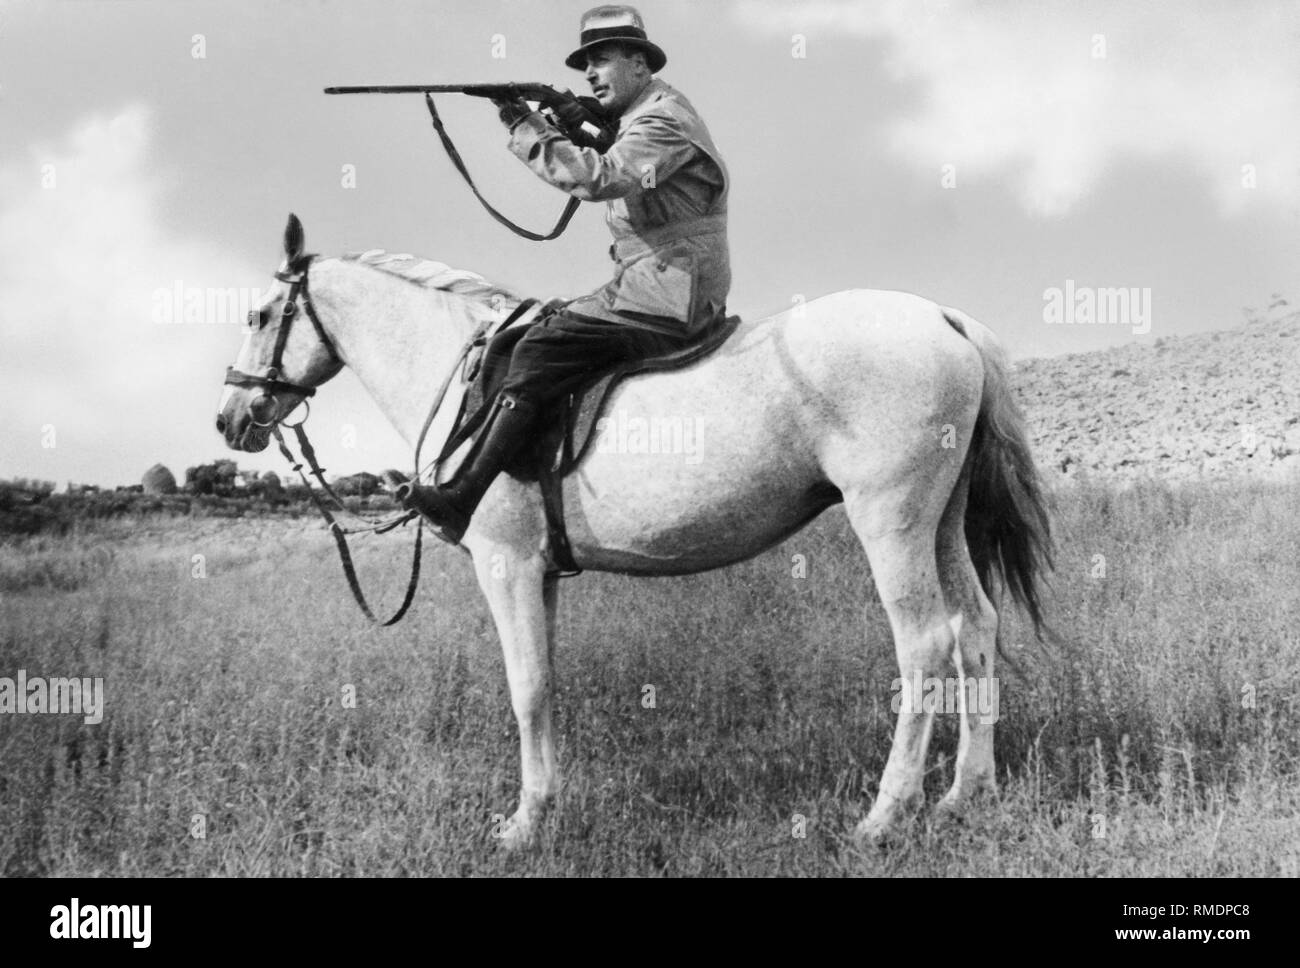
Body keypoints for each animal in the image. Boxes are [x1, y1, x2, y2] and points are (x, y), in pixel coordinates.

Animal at [215, 216, 1055, 847]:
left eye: (259, 316)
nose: (230, 419)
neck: (468, 384)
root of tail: (943, 319)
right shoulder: (540, 576)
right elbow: (547, 681)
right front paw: (548, 804)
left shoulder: (506, 567)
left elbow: (525, 686)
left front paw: (523, 825)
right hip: (942, 523)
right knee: (975, 628)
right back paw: (964, 793)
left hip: (892, 522)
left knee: (924, 646)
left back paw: (887, 814)